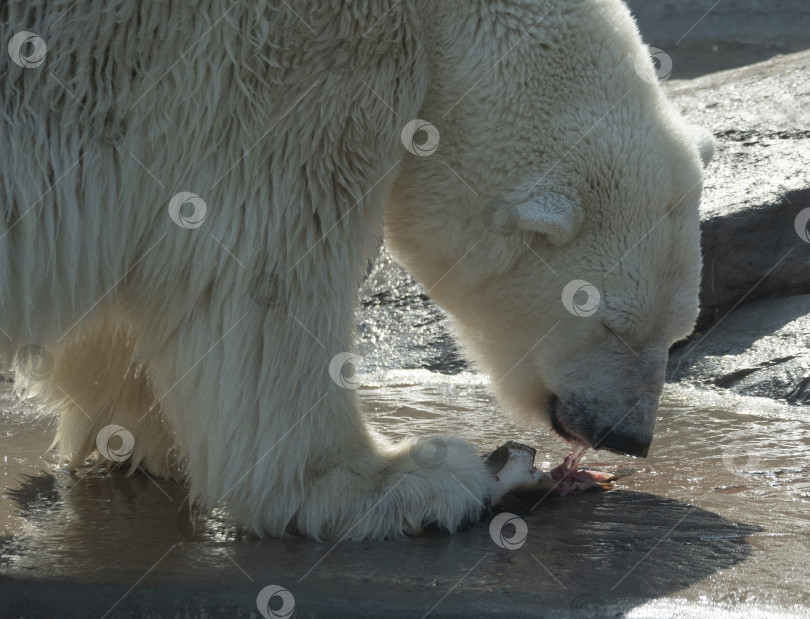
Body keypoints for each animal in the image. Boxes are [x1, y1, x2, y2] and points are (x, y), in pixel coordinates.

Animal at [1, 0, 708, 540]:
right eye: (612, 325)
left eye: (678, 335)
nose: (630, 437)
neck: (447, 19)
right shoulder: (294, 67)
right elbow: (264, 261)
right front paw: (394, 480)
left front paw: (137, 427)